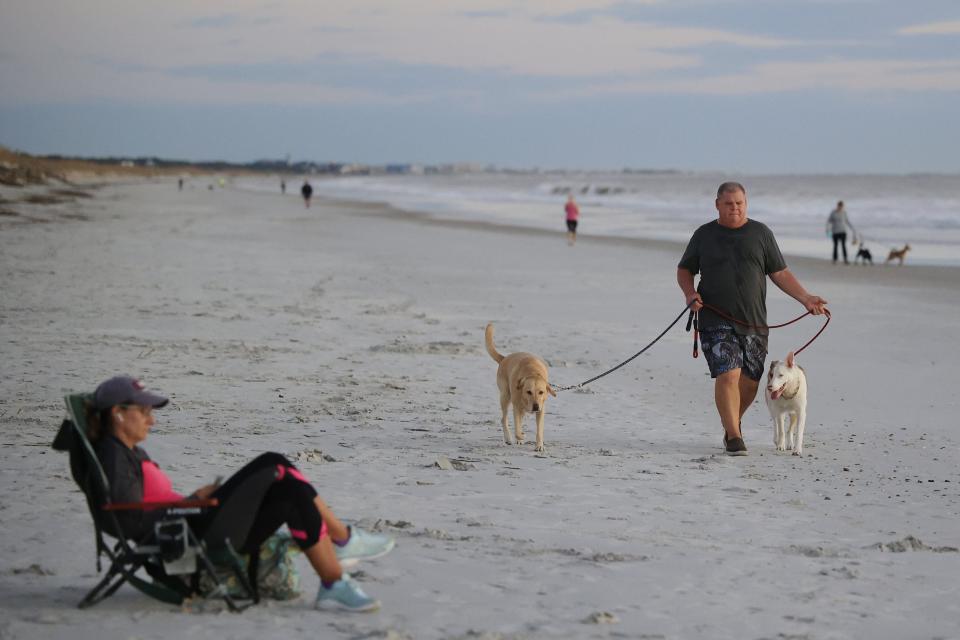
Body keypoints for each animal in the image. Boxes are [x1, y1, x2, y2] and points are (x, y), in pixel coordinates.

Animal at [488, 322, 556, 452]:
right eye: (528, 392)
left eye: (541, 392)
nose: (535, 406)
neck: (533, 372)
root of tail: (504, 358)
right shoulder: (517, 407)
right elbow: (517, 428)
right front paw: (521, 436)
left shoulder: (541, 410)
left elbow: (539, 430)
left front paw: (539, 445)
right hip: (505, 396)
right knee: (504, 419)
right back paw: (509, 438)